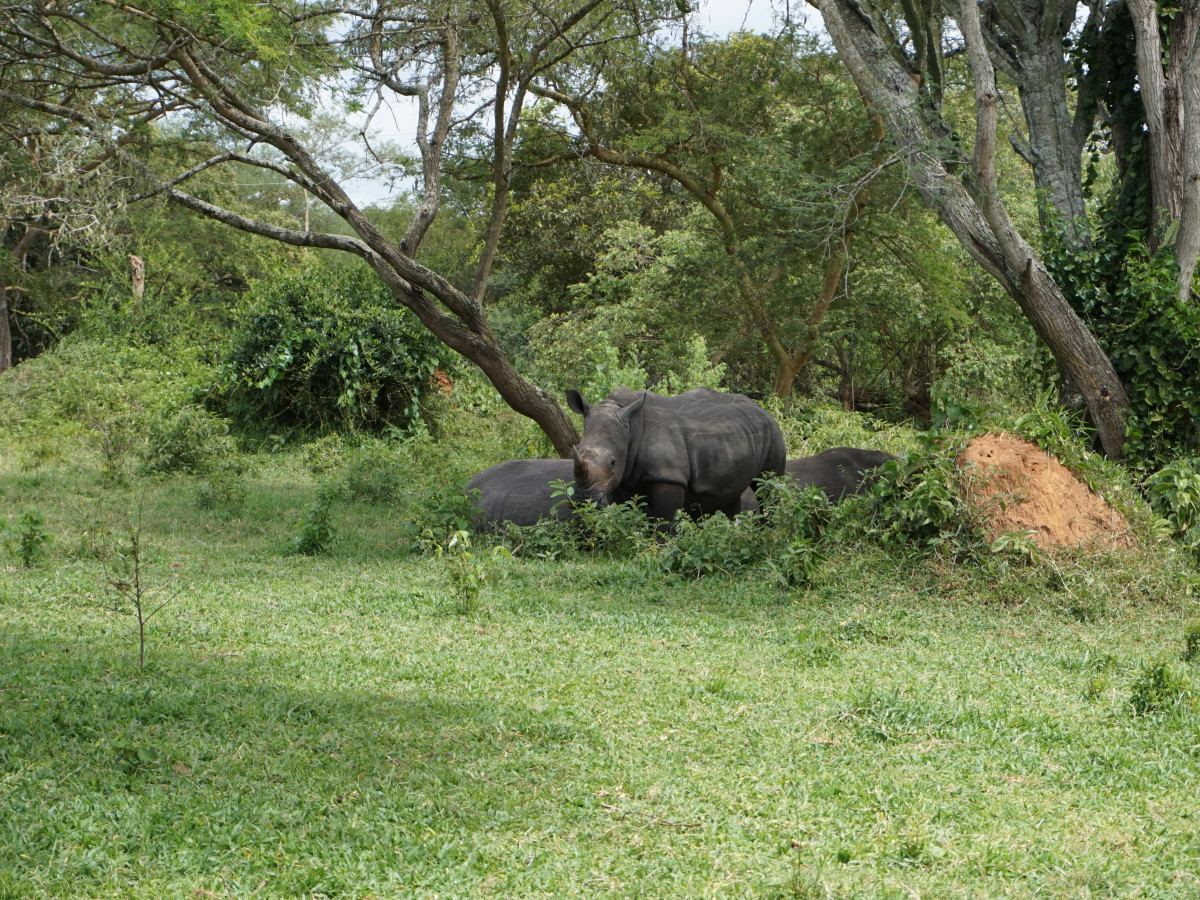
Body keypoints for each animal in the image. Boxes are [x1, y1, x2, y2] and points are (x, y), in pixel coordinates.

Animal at [566, 386, 787, 520]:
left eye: (612, 462)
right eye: (573, 454)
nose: (583, 499)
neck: (632, 428)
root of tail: (763, 410)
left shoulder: (668, 476)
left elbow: (667, 519)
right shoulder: (623, 480)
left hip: (772, 432)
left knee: (768, 485)